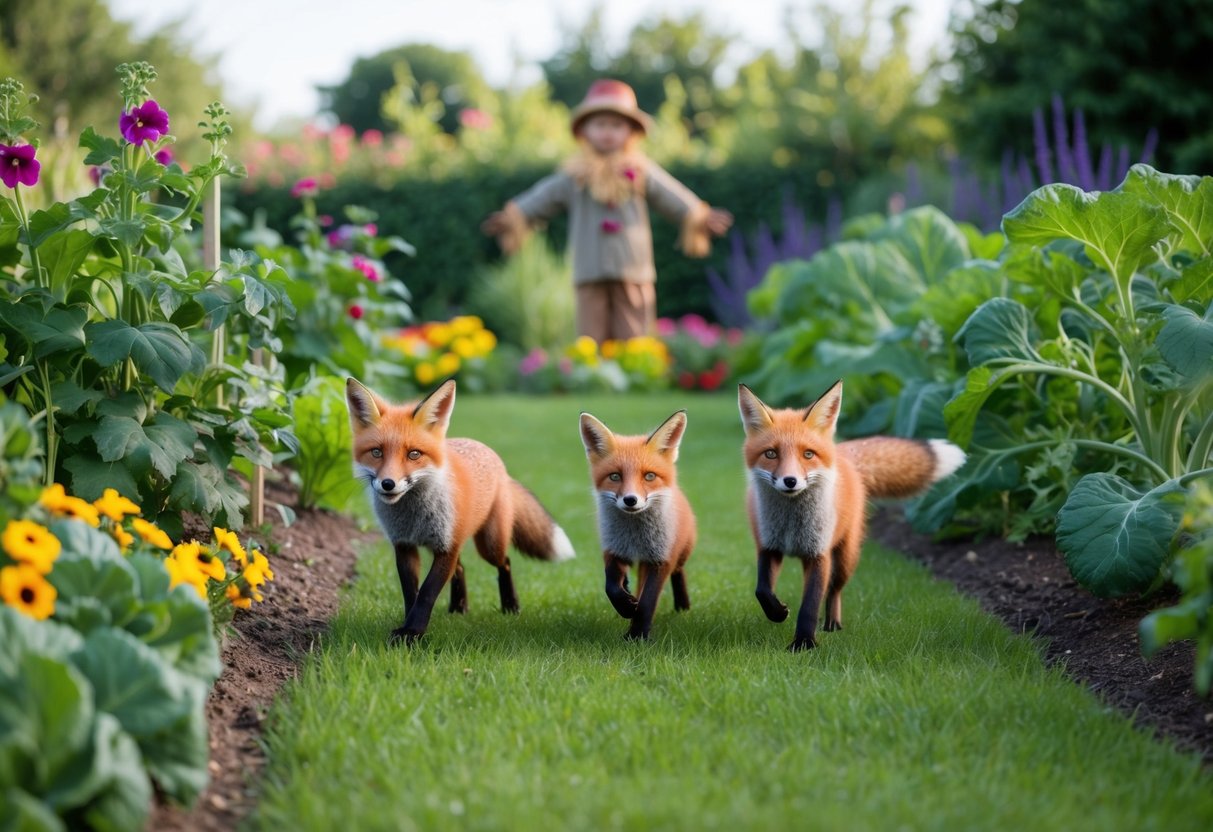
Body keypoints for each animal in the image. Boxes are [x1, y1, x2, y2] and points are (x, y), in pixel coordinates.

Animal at [346, 378, 575, 645]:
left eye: (414, 454)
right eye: (376, 452)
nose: (388, 484)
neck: (413, 518)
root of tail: (492, 455)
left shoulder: (447, 546)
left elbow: (426, 593)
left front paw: (413, 632)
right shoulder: (404, 545)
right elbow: (411, 593)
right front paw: (407, 629)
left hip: (489, 544)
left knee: (505, 562)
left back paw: (510, 606)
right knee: (462, 568)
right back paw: (459, 608)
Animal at [579, 410, 696, 641]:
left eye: (649, 476)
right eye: (615, 476)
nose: (630, 500)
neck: (636, 537)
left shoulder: (660, 559)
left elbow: (647, 602)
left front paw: (637, 636)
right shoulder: (614, 549)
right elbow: (611, 585)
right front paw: (625, 606)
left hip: (680, 553)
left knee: (679, 572)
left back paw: (682, 606)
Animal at [738, 381, 966, 652]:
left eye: (808, 454)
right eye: (771, 454)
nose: (790, 481)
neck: (792, 525)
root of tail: (843, 453)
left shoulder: (820, 554)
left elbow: (810, 605)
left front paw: (804, 643)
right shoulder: (768, 545)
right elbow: (762, 590)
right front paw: (778, 613)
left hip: (846, 558)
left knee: (834, 590)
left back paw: (832, 623)